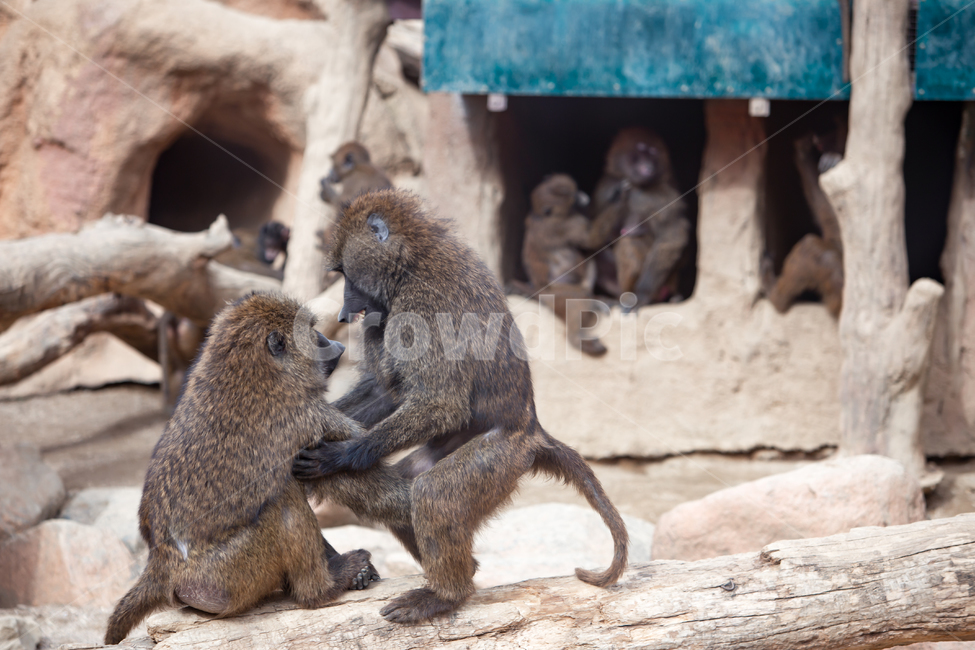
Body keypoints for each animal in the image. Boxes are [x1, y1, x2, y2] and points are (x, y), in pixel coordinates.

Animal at [105, 293, 379, 645]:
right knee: (283, 502)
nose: (335, 344)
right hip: (230, 574)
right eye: (312, 331)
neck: (249, 371)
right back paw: (322, 589)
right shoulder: (309, 415)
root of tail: (162, 566)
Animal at [518, 174, 618, 356]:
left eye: (576, 191)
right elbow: (591, 239)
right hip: (557, 294)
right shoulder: (569, 224)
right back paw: (576, 337)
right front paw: (617, 197)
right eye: (573, 198)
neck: (543, 216)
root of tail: (539, 292)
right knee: (579, 298)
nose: (583, 197)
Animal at [590, 127, 690, 310]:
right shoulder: (606, 185)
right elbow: (591, 238)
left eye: (653, 152)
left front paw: (643, 294)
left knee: (631, 241)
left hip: (667, 282)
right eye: (642, 150)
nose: (649, 166)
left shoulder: (665, 196)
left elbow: (672, 238)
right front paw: (619, 197)